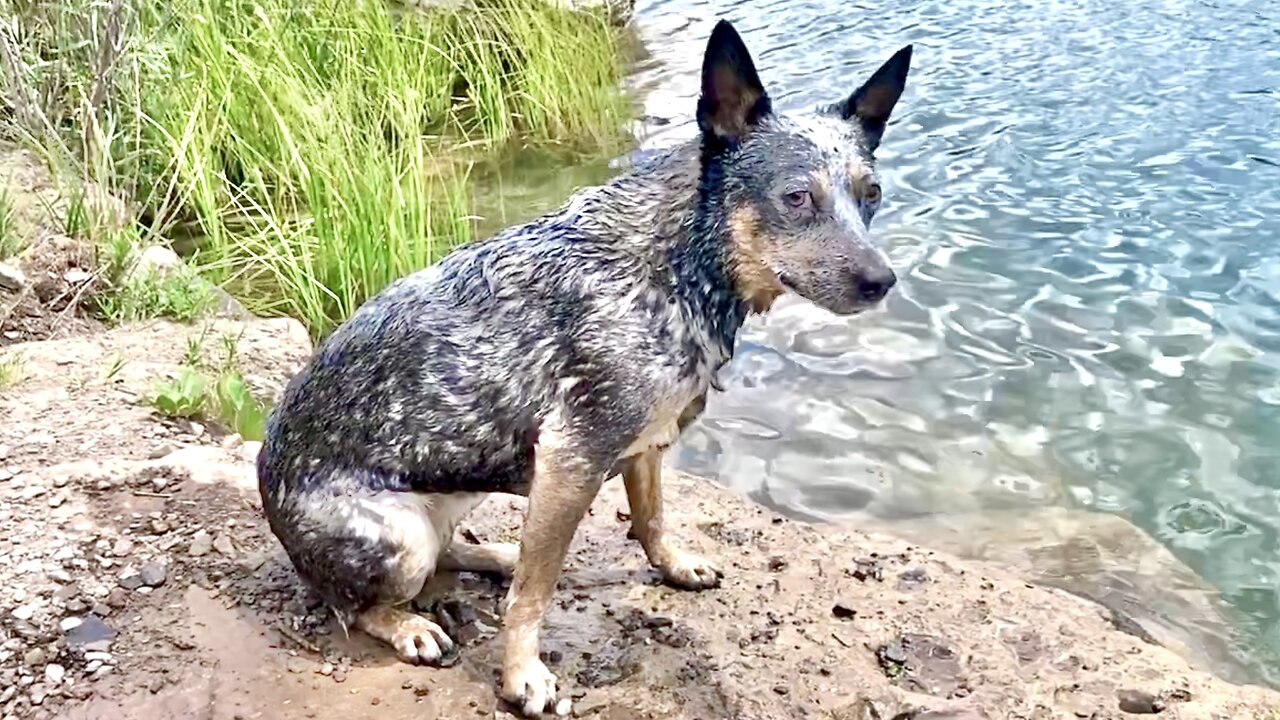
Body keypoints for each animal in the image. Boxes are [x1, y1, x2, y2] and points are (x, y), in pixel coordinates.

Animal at [257, 19, 911, 712]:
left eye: (871, 195)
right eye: (797, 198)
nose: (882, 281)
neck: (678, 265)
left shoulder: (646, 442)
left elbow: (651, 518)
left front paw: (672, 564)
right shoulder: (573, 459)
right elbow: (534, 592)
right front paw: (523, 673)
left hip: (451, 504)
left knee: (449, 555)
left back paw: (492, 553)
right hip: (398, 540)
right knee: (356, 603)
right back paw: (410, 624)